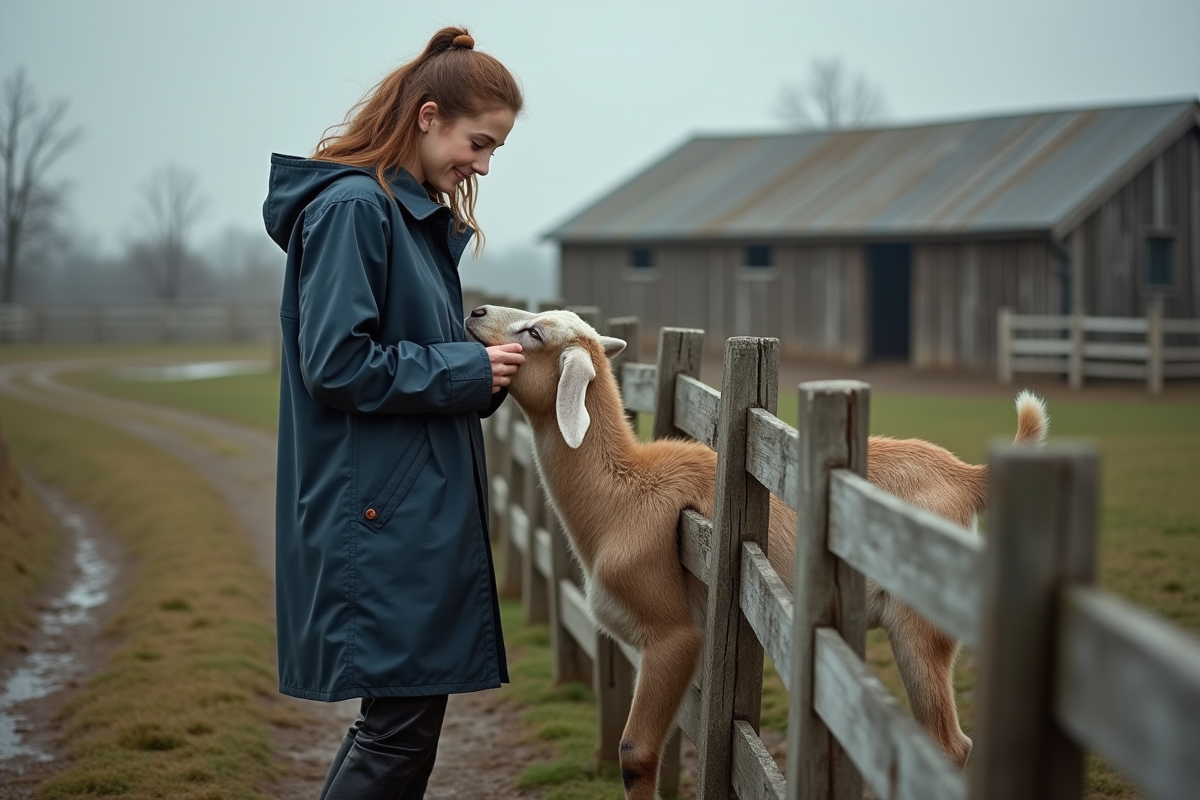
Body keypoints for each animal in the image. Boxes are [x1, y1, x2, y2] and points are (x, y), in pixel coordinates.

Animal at [466, 305, 1048, 800]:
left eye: (534, 333)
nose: (476, 312)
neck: (622, 492)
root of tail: (968, 476)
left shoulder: (672, 635)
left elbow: (636, 754)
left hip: (921, 627)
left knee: (949, 747)